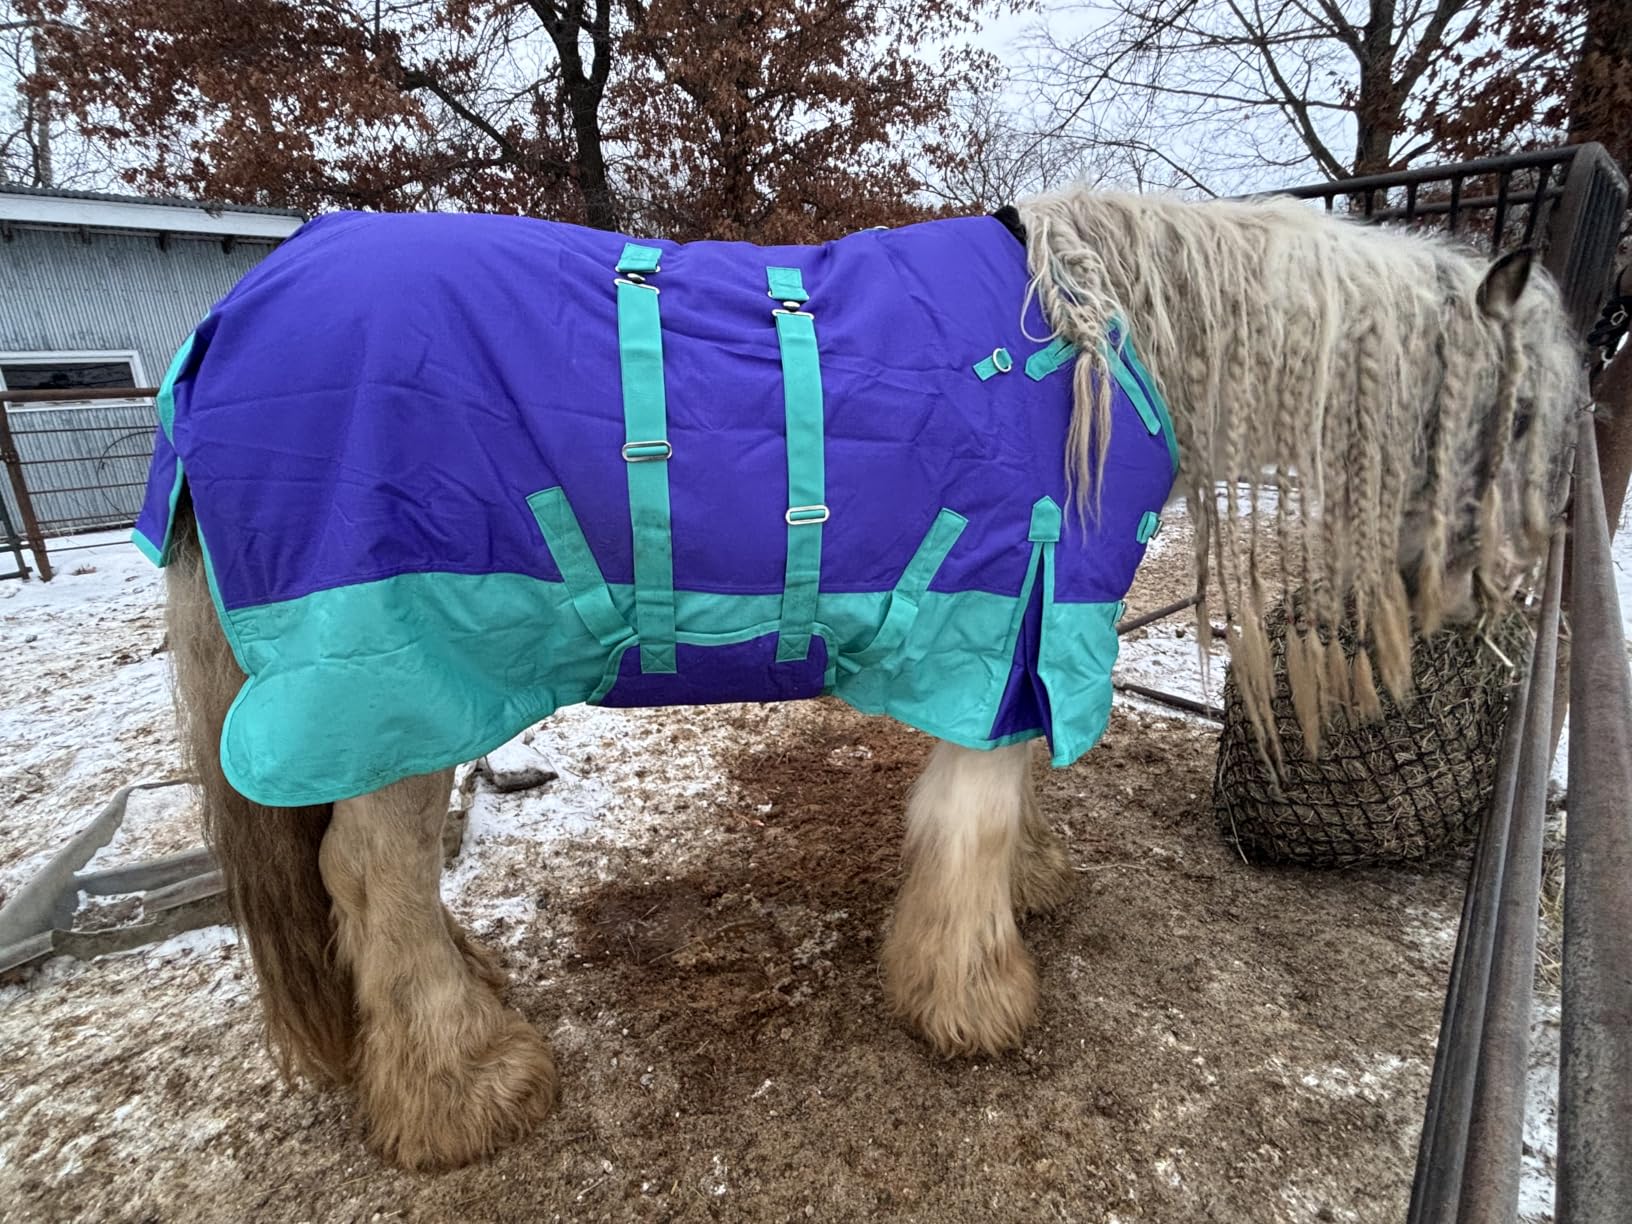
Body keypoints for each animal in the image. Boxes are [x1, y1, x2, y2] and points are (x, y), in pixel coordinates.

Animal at [148, 189, 1580, 1169]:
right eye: (1517, 416)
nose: (1496, 591)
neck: (1105, 350)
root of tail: (223, 323)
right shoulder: (1012, 613)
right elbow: (971, 820)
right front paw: (974, 996)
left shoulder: (1017, 642)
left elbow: (1013, 799)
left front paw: (1032, 892)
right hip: (395, 676)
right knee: (369, 872)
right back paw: (466, 1085)